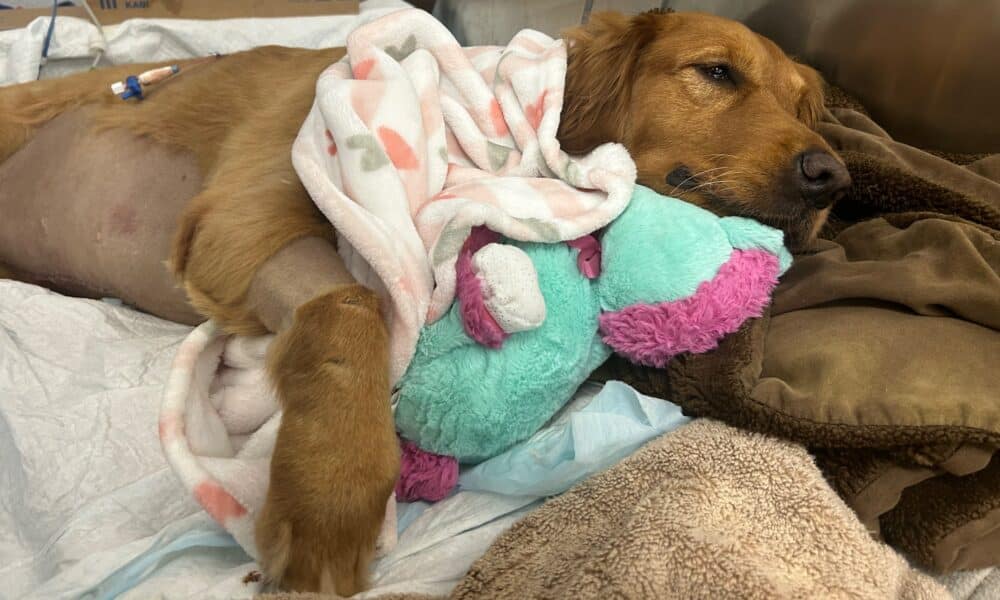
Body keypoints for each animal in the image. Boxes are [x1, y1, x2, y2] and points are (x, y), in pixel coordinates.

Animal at [0, 9, 848, 596]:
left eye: (805, 108)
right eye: (716, 73)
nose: (832, 177)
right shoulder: (242, 218)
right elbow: (353, 305)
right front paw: (331, 499)